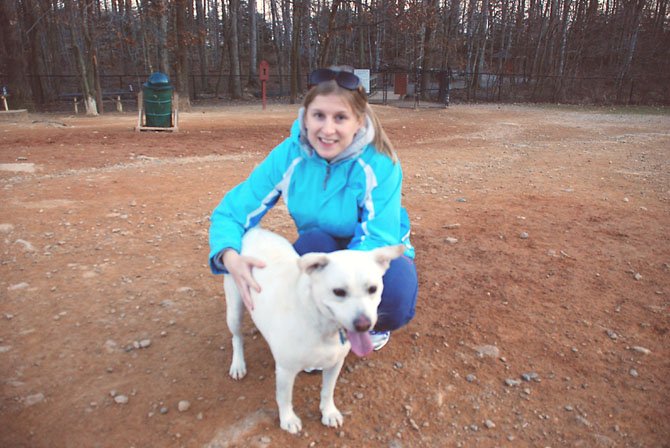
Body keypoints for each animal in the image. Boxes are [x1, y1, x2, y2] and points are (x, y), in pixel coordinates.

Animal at [226, 229, 404, 432]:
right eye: (338, 292)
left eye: (373, 289)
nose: (364, 325)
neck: (321, 325)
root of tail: (254, 231)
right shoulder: (285, 371)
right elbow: (284, 398)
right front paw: (288, 419)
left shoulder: (335, 364)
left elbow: (327, 391)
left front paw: (329, 412)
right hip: (234, 310)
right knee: (237, 337)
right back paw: (238, 364)